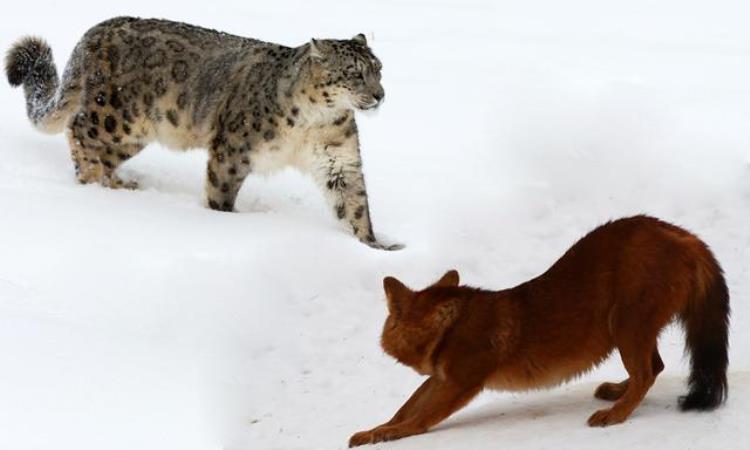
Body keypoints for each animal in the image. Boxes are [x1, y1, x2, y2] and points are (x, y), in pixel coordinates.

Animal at [5, 16, 402, 250]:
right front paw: (222, 221)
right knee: (80, 133)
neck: (315, 121)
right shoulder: (234, 148)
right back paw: (95, 183)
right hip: (116, 116)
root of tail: (96, 30)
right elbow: (221, 190)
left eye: (379, 68)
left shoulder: (338, 157)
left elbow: (353, 203)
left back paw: (119, 185)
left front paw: (374, 246)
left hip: (132, 133)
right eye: (354, 73)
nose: (380, 95)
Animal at [350, 215, 732, 446]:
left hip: (625, 323)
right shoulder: (442, 377)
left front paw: (388, 435)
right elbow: (405, 407)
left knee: (647, 372)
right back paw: (615, 392)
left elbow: (418, 419)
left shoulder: (460, 382)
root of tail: (687, 237)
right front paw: (372, 431)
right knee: (654, 367)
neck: (453, 323)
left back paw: (616, 414)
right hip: (631, 329)